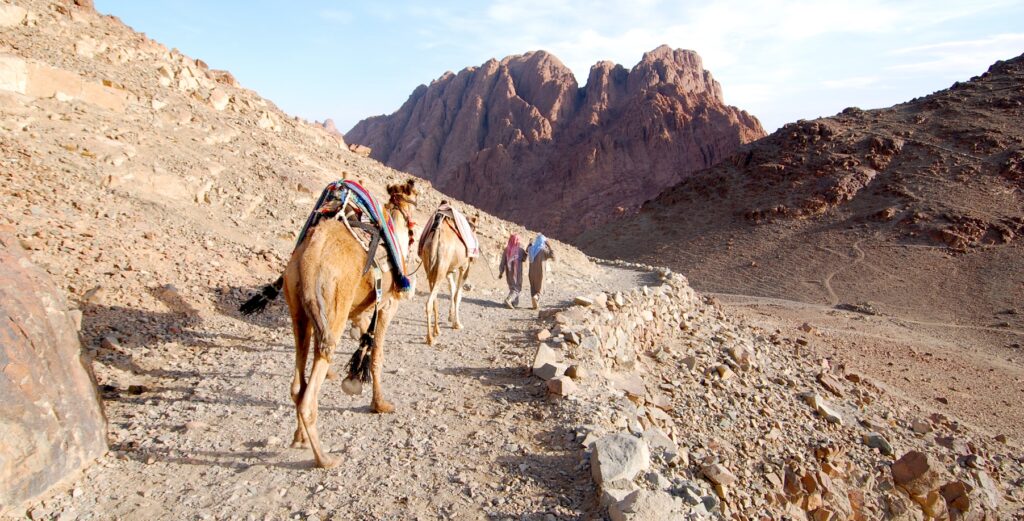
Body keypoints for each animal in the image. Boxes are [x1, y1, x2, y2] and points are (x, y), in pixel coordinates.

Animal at [283, 179, 417, 468]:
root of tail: (309, 257)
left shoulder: (360, 311)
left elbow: (365, 341)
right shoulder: (386, 305)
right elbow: (377, 355)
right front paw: (380, 404)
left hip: (300, 311)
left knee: (298, 383)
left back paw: (299, 438)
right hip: (334, 309)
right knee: (309, 394)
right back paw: (324, 458)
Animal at [419, 205, 477, 346]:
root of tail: (435, 238)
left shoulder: (450, 270)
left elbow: (452, 289)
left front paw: (451, 317)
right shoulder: (464, 267)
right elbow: (457, 295)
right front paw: (457, 323)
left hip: (431, 269)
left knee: (434, 299)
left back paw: (437, 330)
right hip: (441, 268)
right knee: (429, 302)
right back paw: (430, 338)